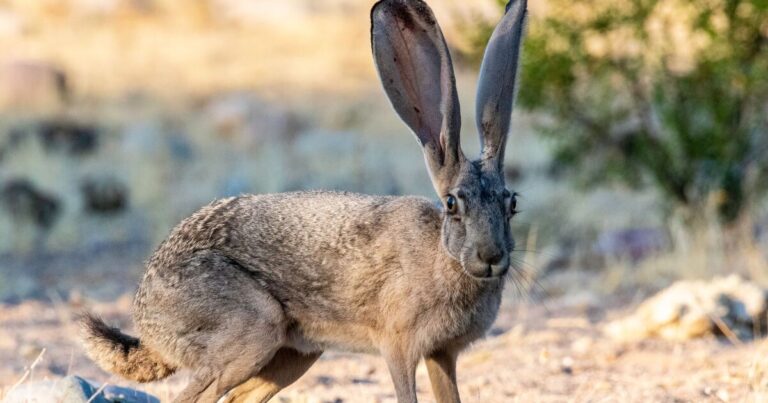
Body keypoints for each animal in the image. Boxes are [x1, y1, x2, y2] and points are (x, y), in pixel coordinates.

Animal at [78, 0, 528, 402]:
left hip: (292, 354)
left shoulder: (443, 354)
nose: (491, 257)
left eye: (512, 204)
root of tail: (146, 316)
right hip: (251, 331)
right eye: (452, 204)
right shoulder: (399, 346)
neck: (444, 256)